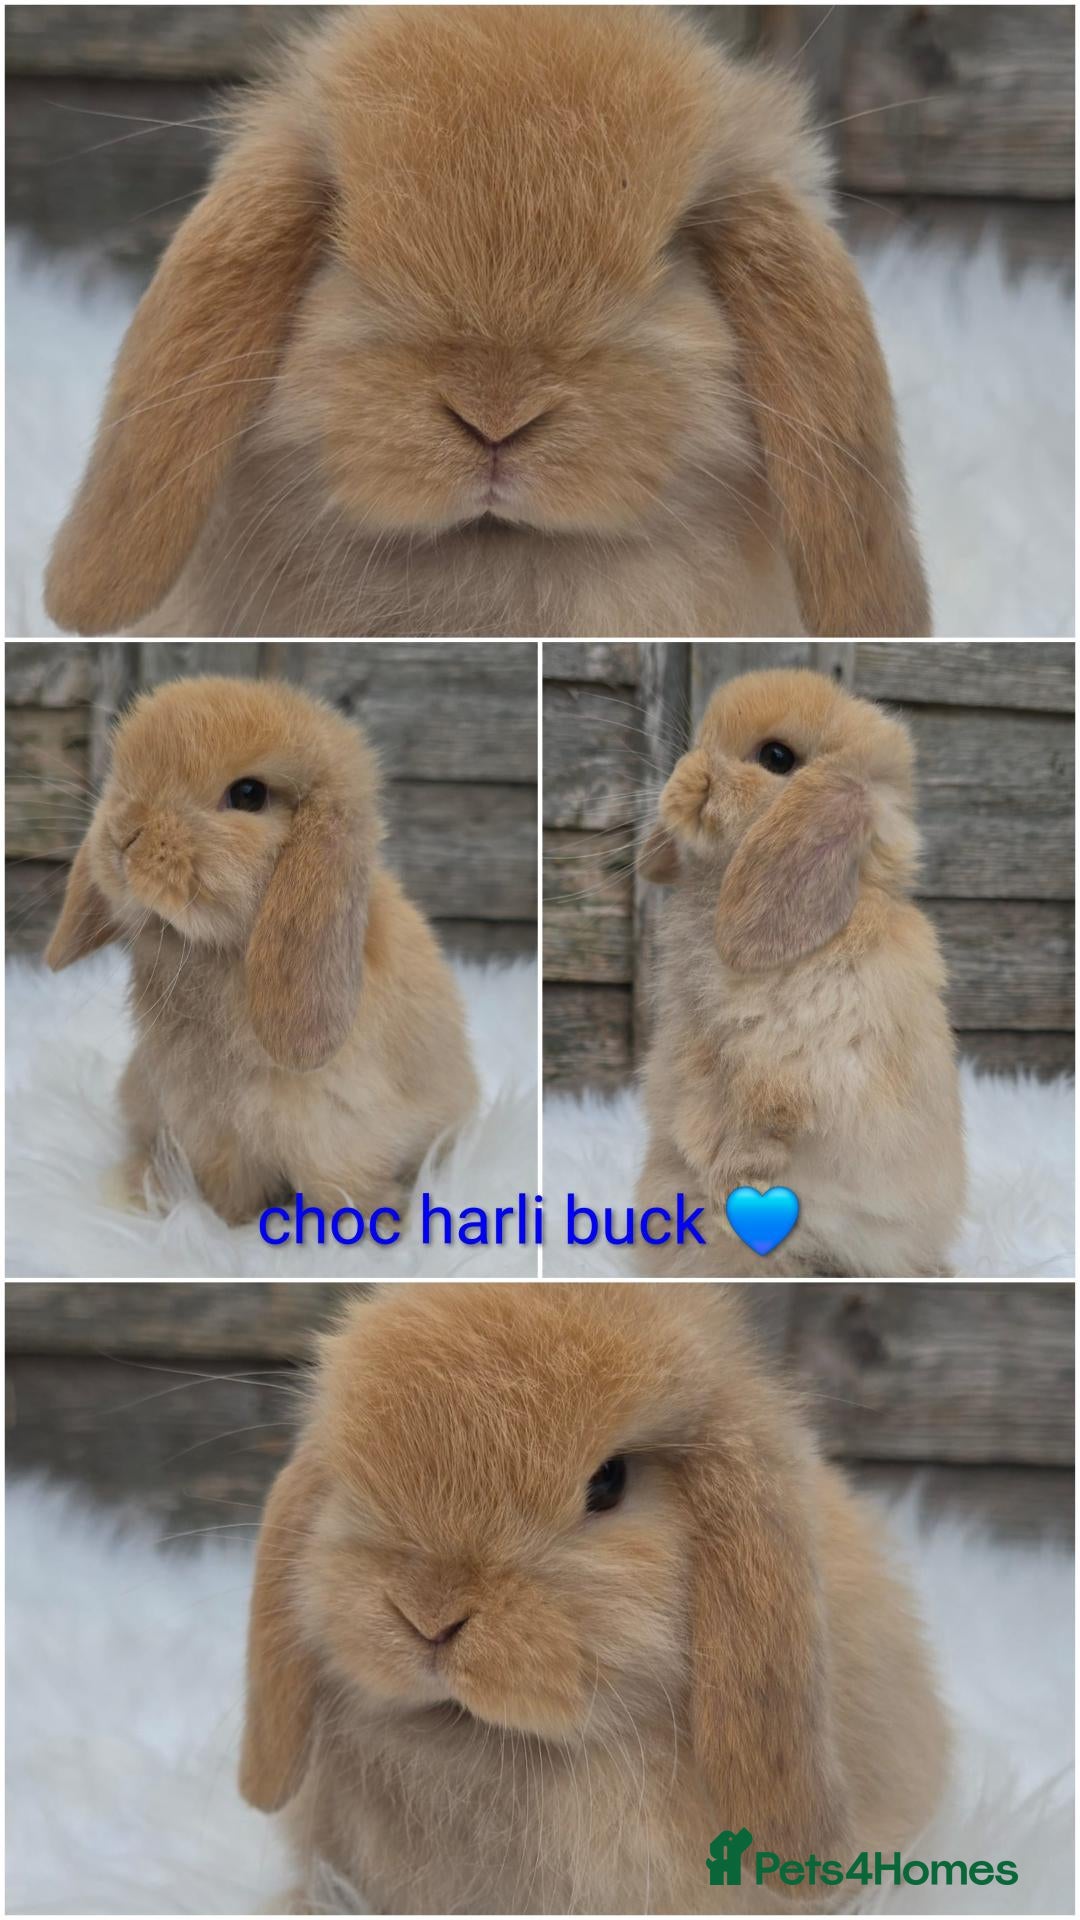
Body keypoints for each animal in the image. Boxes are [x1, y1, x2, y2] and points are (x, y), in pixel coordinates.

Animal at [45, 675, 478, 1226]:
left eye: (248, 794)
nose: (124, 834)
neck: (212, 952)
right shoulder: (201, 1119)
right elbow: (223, 1182)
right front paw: (215, 1219)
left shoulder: (332, 1129)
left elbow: (339, 1188)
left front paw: (373, 1223)